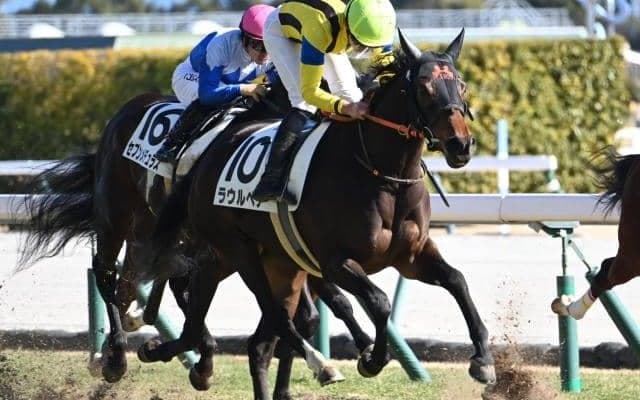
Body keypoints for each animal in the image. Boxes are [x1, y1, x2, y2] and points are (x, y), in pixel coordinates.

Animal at [15, 80, 373, 398]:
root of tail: (127, 109)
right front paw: (328, 360)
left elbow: (318, 305)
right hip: (116, 215)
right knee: (107, 271)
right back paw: (115, 355)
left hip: (151, 229)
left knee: (141, 283)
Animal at [138, 29, 496, 400]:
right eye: (425, 86)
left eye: (462, 85)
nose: (460, 145)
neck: (383, 174)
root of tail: (211, 151)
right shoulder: (334, 263)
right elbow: (379, 302)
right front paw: (372, 358)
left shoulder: (411, 255)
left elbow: (457, 280)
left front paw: (483, 360)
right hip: (240, 253)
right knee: (271, 317)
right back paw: (316, 362)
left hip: (253, 262)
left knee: (239, 336)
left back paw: (175, 355)